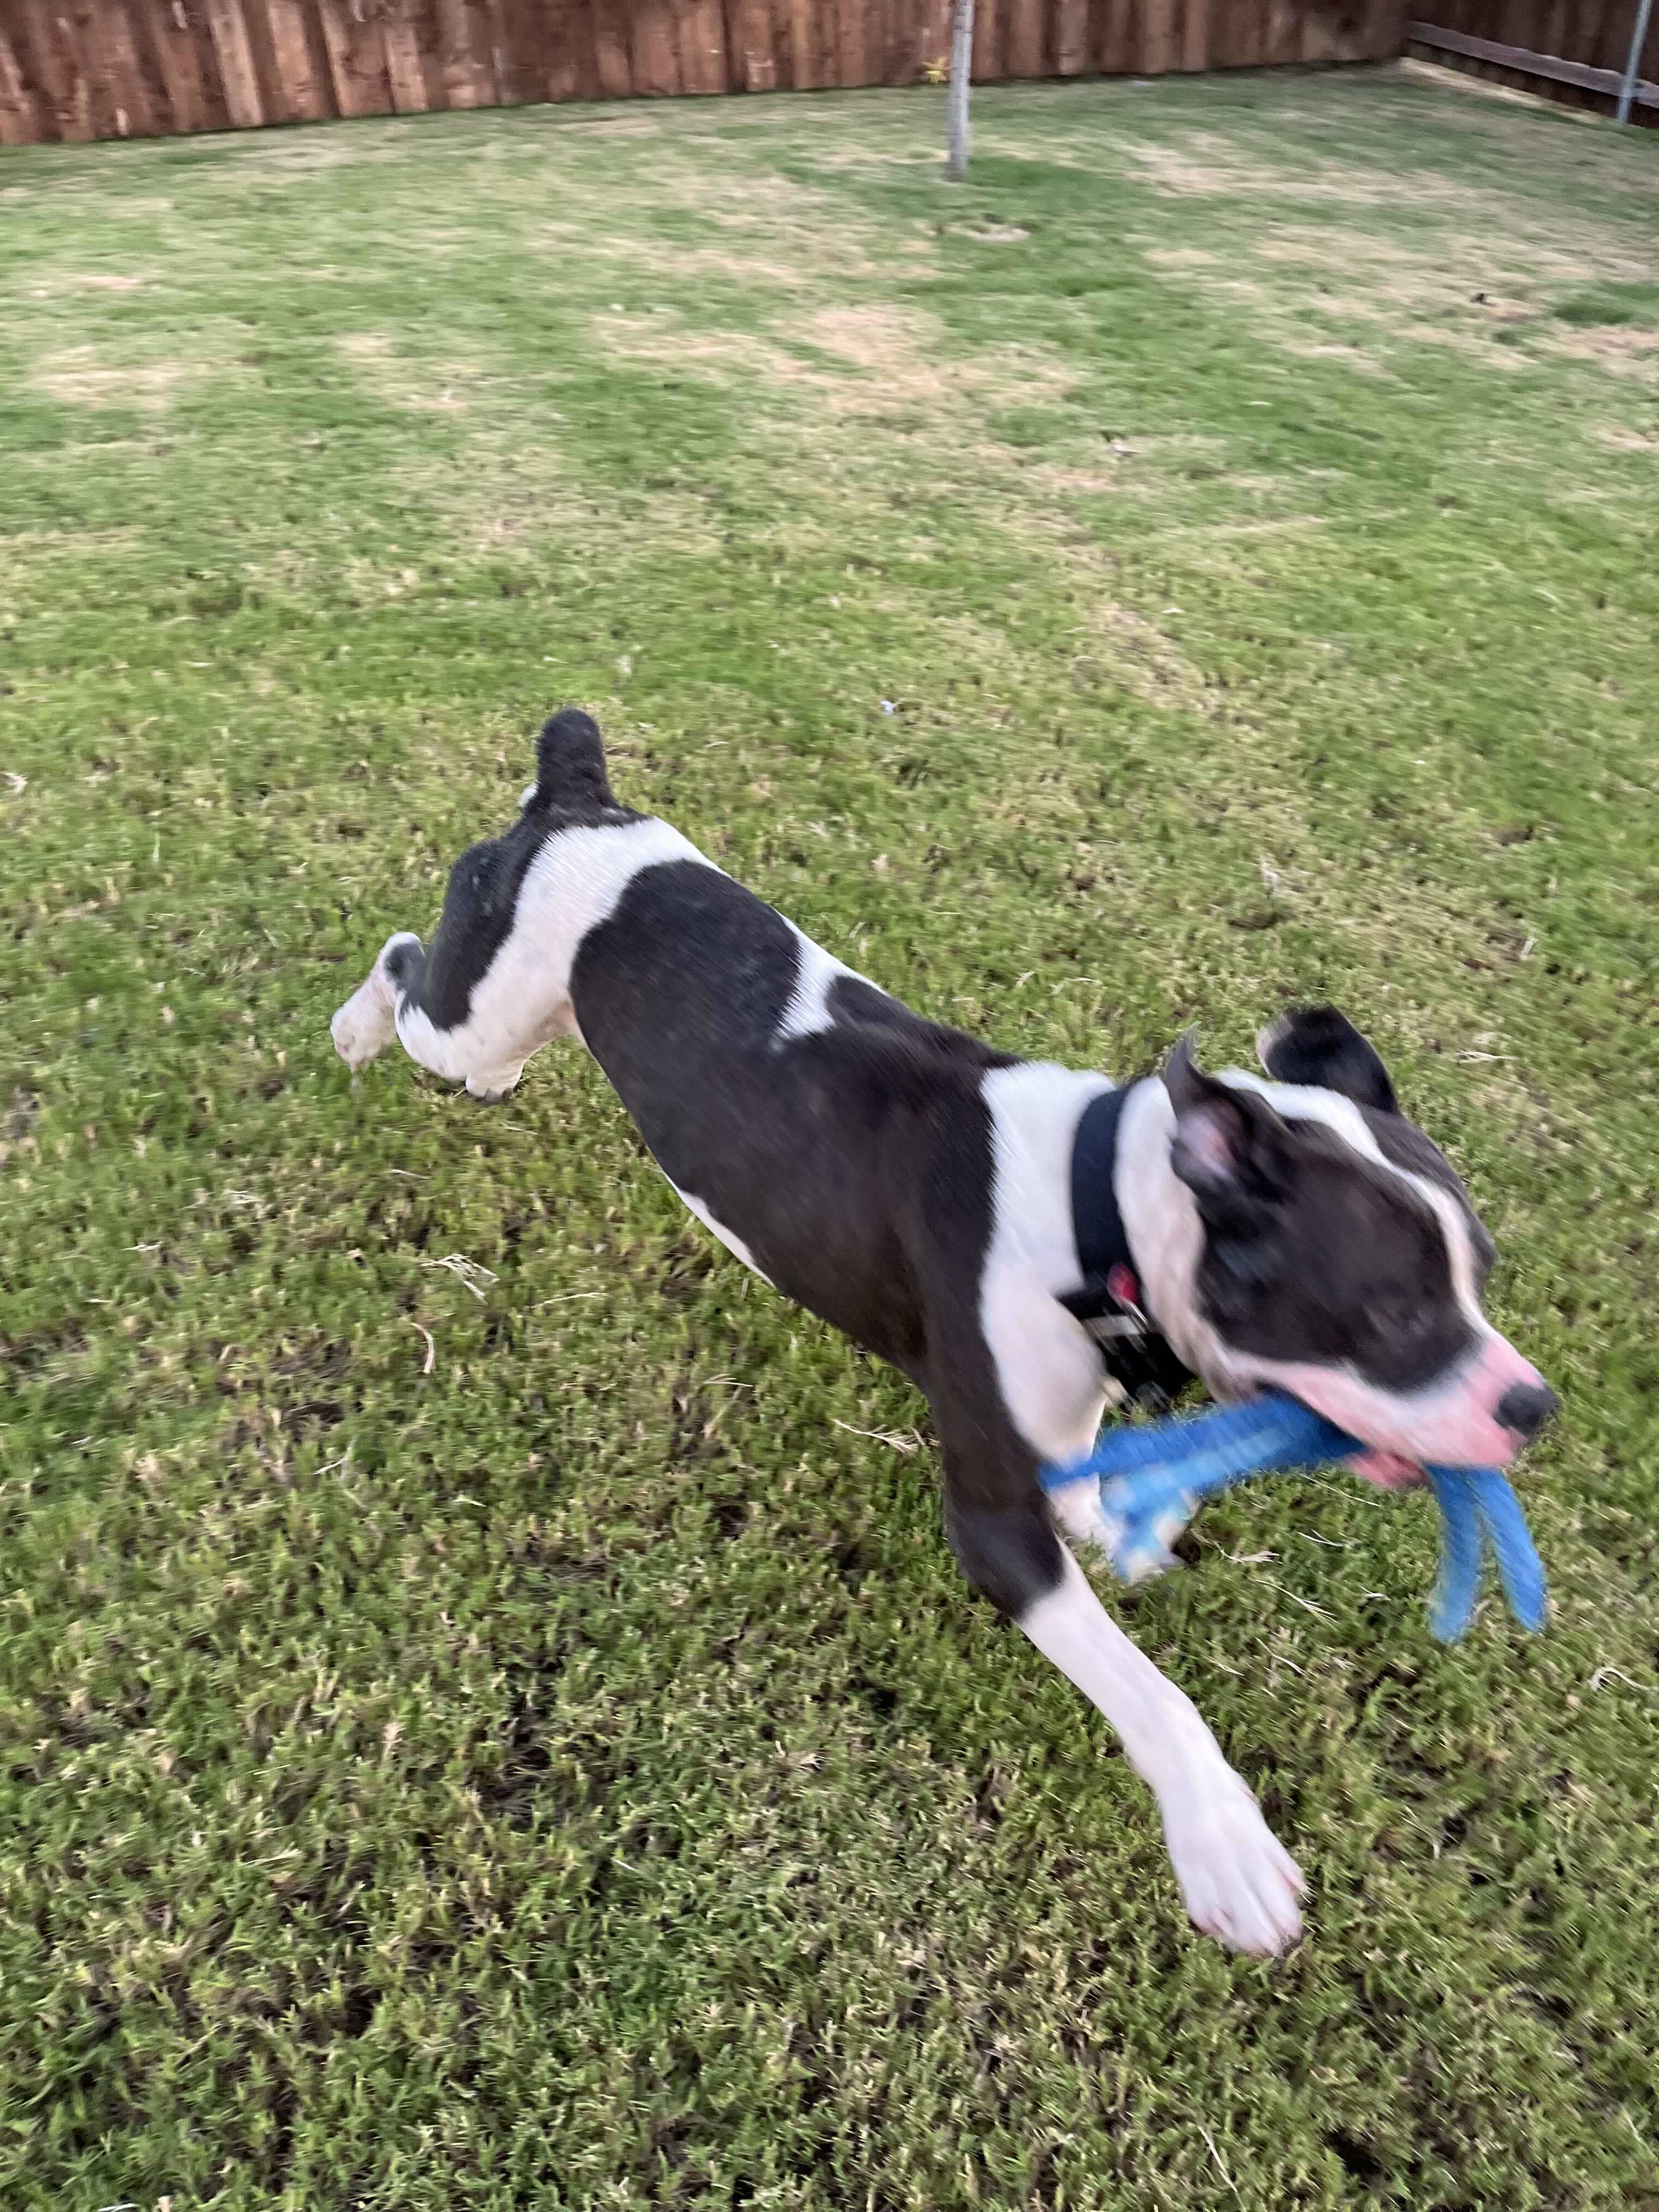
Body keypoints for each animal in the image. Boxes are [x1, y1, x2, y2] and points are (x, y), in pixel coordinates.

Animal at [334, 708, 1557, 1955]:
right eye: (1398, 1310)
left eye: (1482, 1277)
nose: (1532, 1406)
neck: (1096, 1207)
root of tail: (575, 801)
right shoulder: (992, 1528)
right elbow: (1143, 1687)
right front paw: (1221, 1838)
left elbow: (1085, 1476)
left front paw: (1108, 1524)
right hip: (470, 1013)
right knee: (404, 965)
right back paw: (353, 1028)